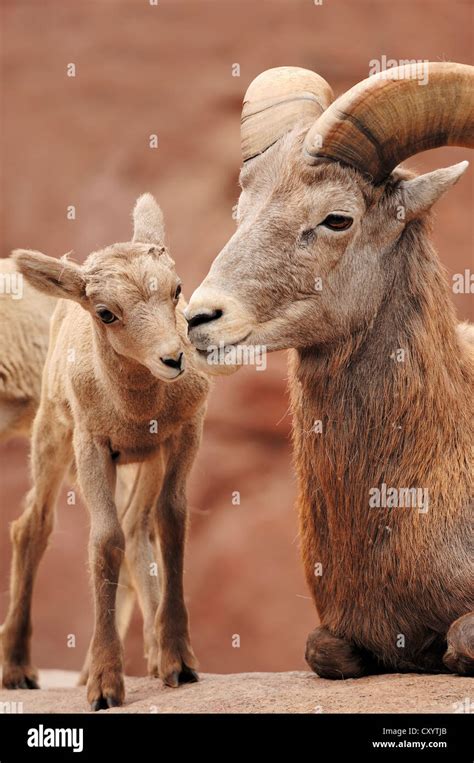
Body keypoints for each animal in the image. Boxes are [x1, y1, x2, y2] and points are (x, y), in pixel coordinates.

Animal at [1, 194, 208, 708]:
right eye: (105, 312)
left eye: (176, 290)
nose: (174, 358)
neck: (136, 410)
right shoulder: (93, 446)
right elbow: (104, 541)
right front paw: (104, 687)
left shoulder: (182, 435)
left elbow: (171, 522)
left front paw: (180, 662)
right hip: (53, 440)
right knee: (32, 527)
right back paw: (18, 670)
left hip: (146, 461)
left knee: (138, 529)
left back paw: (155, 656)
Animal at [186, 62, 474, 676]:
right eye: (241, 213)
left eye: (337, 218)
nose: (200, 319)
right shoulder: (337, 634)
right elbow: (325, 652)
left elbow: (459, 640)